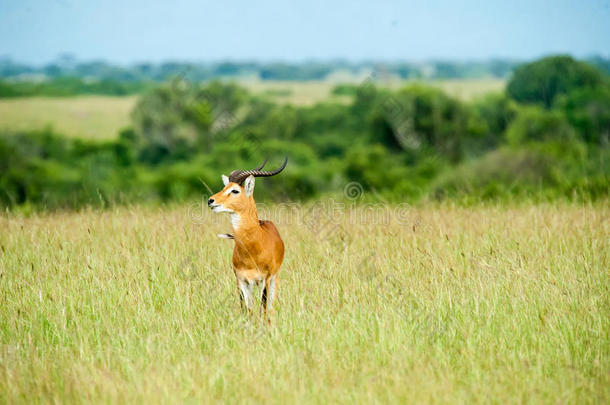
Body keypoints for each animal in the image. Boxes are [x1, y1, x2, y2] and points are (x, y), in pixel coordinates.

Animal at [207, 156, 288, 320]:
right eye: (225, 187)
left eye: (235, 190)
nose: (211, 200)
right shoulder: (241, 281)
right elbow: (247, 309)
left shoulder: (266, 279)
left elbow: (263, 308)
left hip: (273, 279)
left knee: (269, 307)